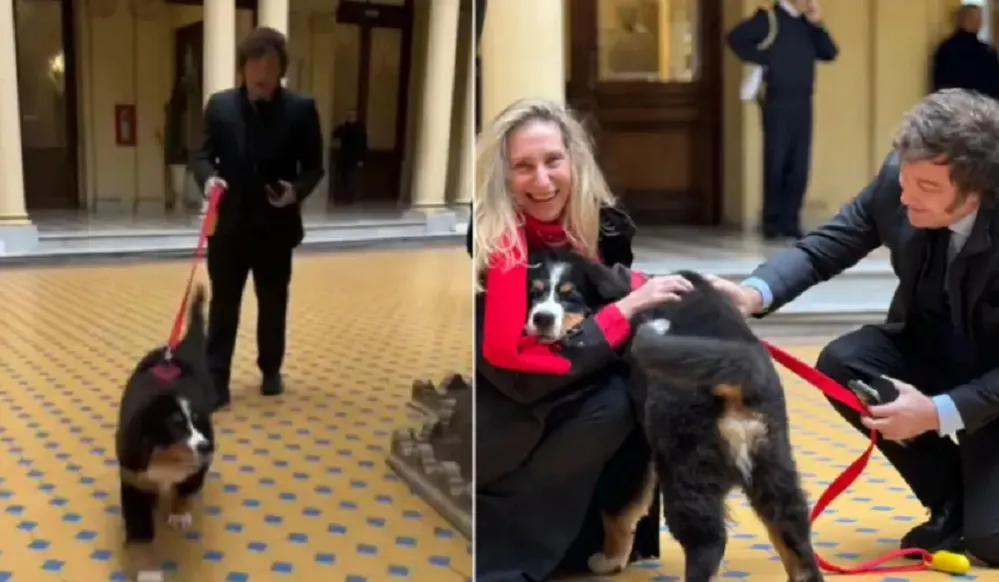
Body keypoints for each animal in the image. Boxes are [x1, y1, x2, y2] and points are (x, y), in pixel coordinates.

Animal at [114, 286, 214, 580]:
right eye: (175, 424)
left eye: (197, 422)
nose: (206, 446)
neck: (164, 457)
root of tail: (177, 351)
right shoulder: (133, 479)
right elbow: (140, 536)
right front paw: (148, 571)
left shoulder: (198, 465)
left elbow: (186, 489)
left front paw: (180, 514)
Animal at [528, 251, 824, 582]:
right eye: (533, 293)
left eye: (572, 297)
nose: (541, 318)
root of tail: (736, 378)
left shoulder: (635, 443)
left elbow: (619, 510)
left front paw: (610, 560)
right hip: (773, 462)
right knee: (794, 532)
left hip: (685, 467)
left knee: (708, 544)